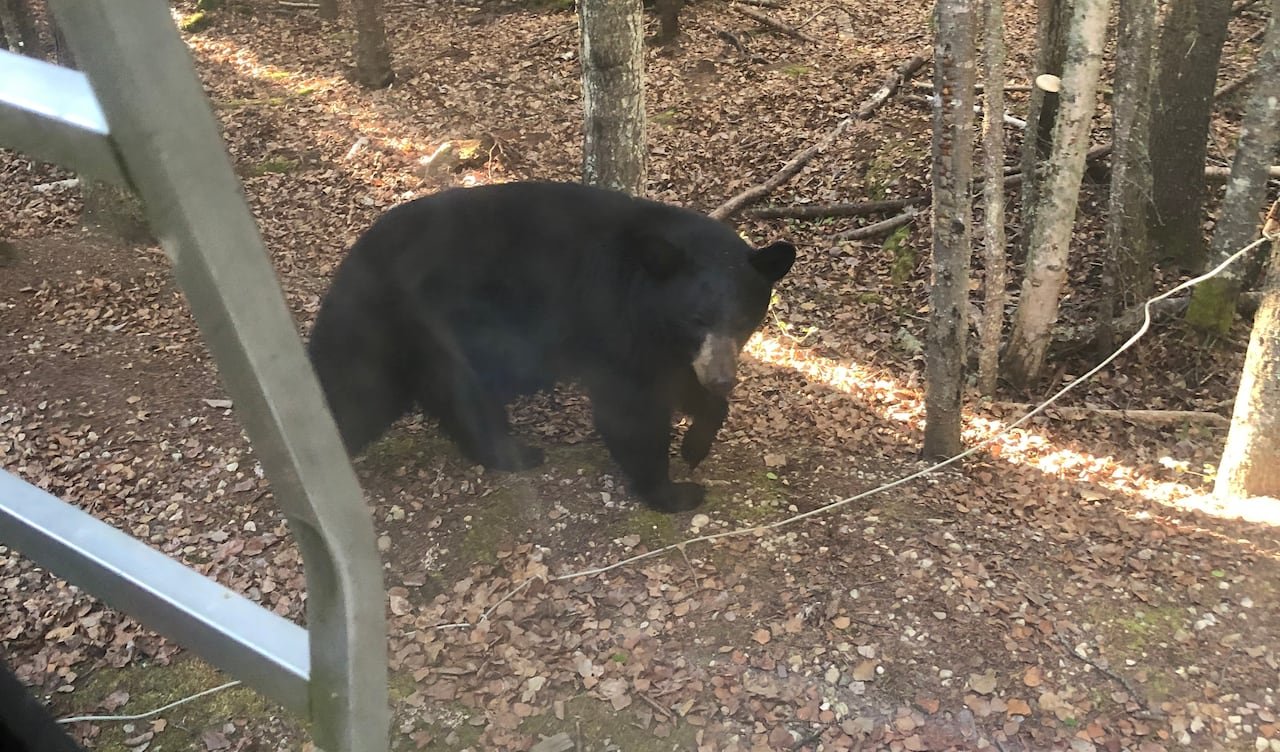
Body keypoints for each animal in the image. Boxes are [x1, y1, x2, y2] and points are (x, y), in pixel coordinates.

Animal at [307, 181, 795, 512]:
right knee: (364, 395)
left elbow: (677, 383)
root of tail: (349, 269)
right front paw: (673, 491)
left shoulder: (666, 344)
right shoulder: (614, 323)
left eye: (744, 320)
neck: (644, 294)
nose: (722, 378)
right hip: (415, 329)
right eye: (696, 318)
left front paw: (696, 445)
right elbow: (630, 410)